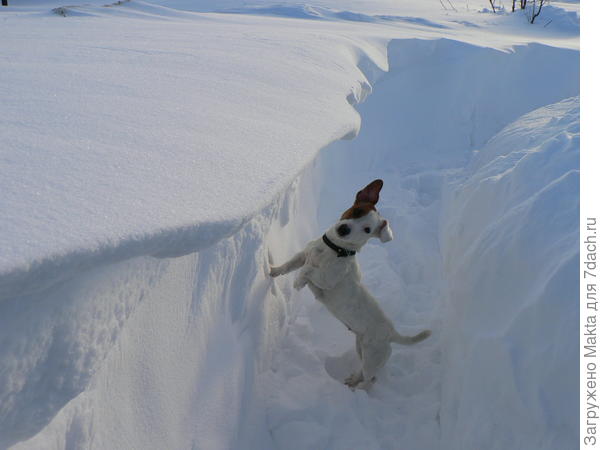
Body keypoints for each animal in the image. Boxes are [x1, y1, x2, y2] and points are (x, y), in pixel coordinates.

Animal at [270, 179, 432, 390]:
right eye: (357, 211)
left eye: (367, 230)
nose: (344, 229)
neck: (334, 250)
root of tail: (392, 334)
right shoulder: (303, 256)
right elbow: (289, 265)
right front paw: (272, 270)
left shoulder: (327, 279)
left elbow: (307, 270)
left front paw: (298, 282)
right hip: (361, 348)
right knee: (363, 372)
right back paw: (353, 380)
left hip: (373, 356)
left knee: (370, 379)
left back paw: (358, 389)